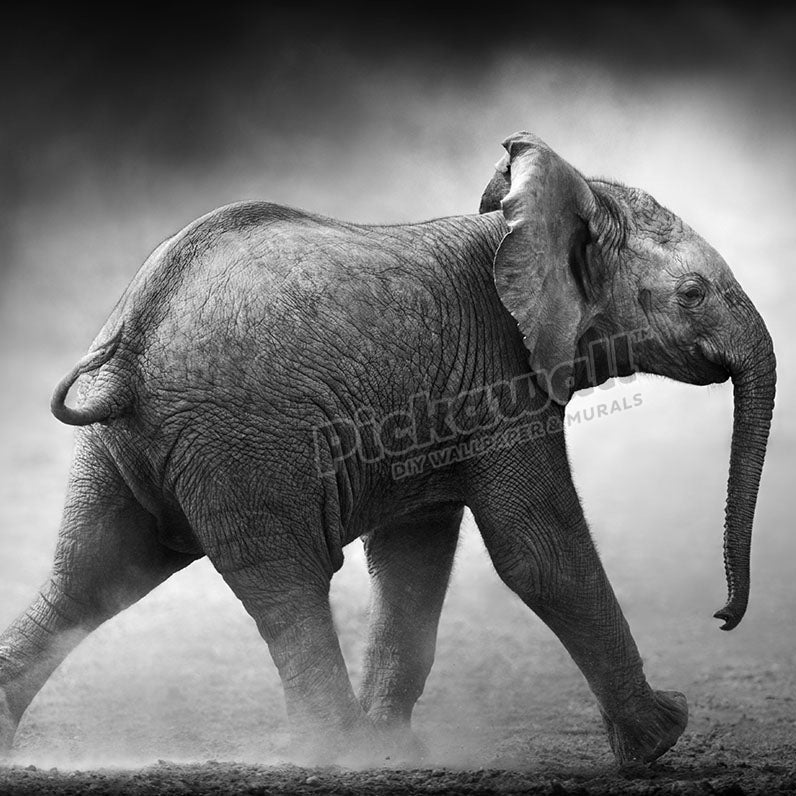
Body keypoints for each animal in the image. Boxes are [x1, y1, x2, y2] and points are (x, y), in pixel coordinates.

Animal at [0, 132, 775, 767]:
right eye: (693, 292)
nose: (723, 617)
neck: (530, 218)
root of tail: (133, 336)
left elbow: (413, 559)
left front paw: (393, 750)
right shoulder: (503, 378)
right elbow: (538, 550)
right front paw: (664, 737)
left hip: (132, 445)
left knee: (94, 575)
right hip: (246, 443)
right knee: (287, 584)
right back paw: (334, 756)